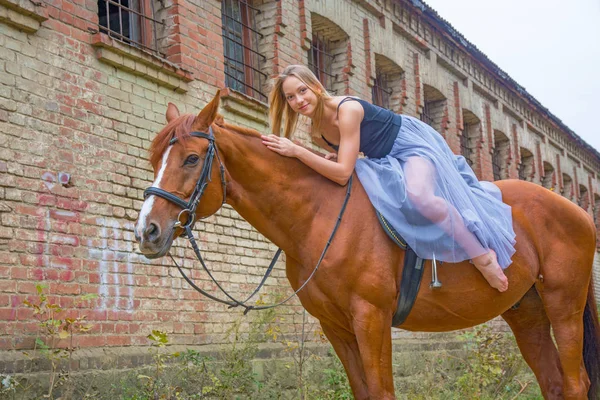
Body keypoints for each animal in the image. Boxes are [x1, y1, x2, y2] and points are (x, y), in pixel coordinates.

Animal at [136, 92, 600, 398]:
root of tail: (576, 211)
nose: (147, 231)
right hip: (527, 312)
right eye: (154, 157)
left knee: (576, 381)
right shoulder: (336, 326)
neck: (320, 217)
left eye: (192, 158)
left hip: (563, 305)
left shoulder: (371, 319)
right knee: (554, 382)